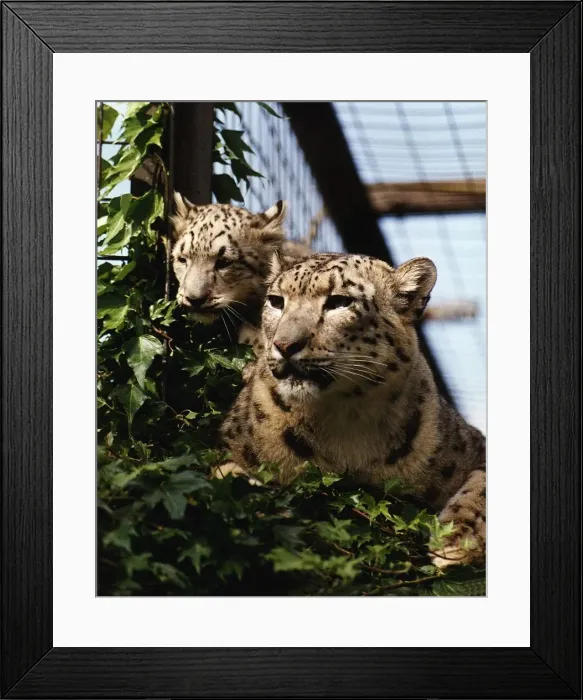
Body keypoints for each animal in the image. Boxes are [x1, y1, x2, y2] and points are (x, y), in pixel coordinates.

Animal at [218, 252, 486, 568]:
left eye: (339, 301)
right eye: (276, 301)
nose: (284, 344)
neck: (344, 418)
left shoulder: (473, 446)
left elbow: (482, 486)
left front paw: (457, 540)